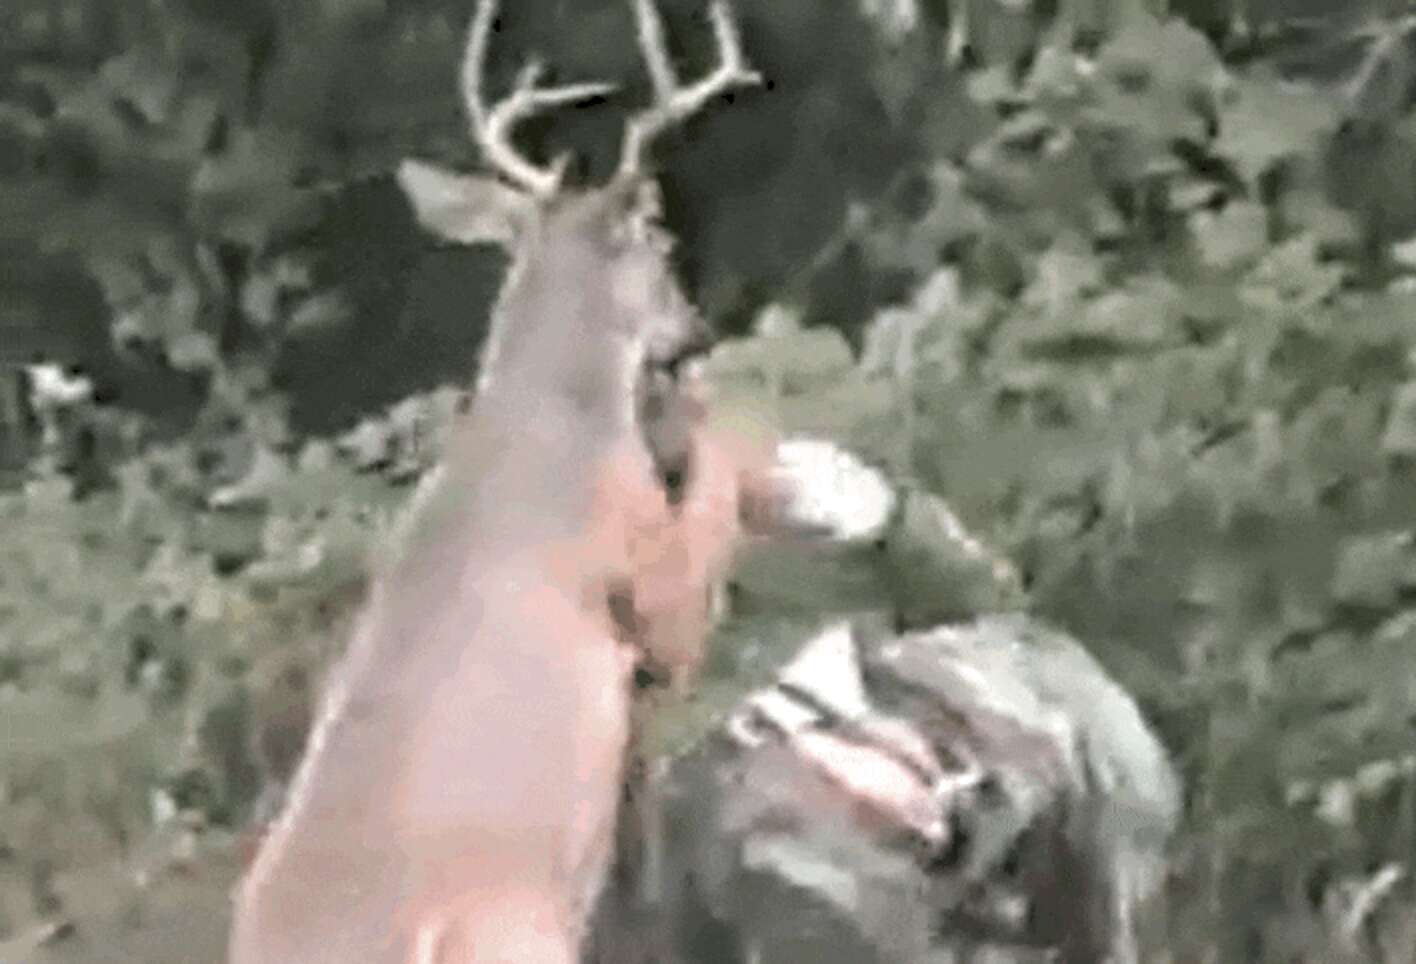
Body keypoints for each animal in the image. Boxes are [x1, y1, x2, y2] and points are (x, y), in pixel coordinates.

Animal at [226, 1, 764, 962]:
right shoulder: (645, 588)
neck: (552, 422)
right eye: (662, 236)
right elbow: (715, 478)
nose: (694, 330)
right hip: (512, 928)